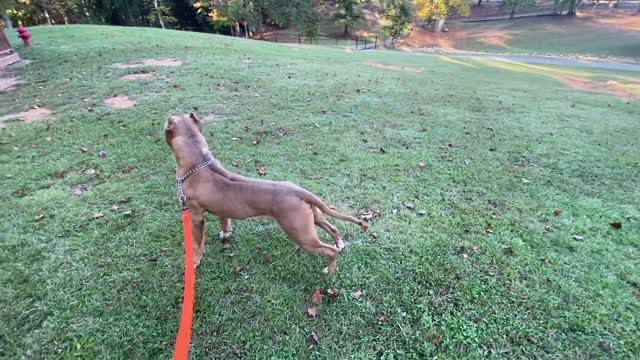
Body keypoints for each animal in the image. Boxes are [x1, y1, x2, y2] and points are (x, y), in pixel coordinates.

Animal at [165, 114, 364, 274]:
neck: (199, 162)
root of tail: (299, 191)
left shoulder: (195, 216)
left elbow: (197, 243)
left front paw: (195, 261)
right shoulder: (222, 207)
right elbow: (225, 220)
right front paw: (226, 233)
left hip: (301, 234)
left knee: (330, 251)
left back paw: (329, 272)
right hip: (312, 218)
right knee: (332, 228)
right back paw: (339, 244)